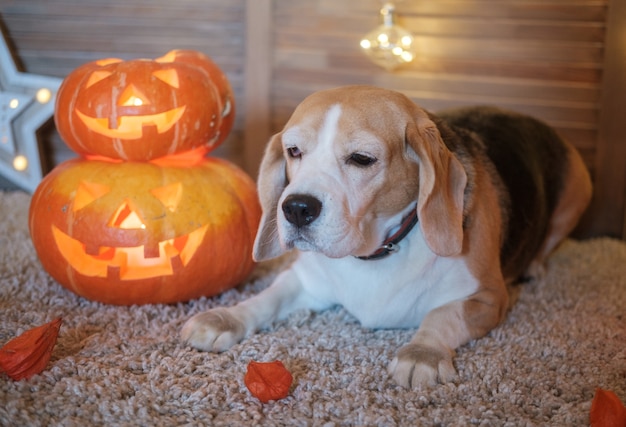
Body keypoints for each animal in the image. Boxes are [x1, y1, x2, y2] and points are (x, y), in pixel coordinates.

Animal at [180, 85, 588, 390]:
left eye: (362, 159)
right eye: (293, 151)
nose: (295, 208)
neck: (378, 251)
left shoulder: (488, 297)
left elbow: (441, 314)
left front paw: (422, 354)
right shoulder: (306, 279)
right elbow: (267, 298)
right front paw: (225, 317)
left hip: (578, 192)